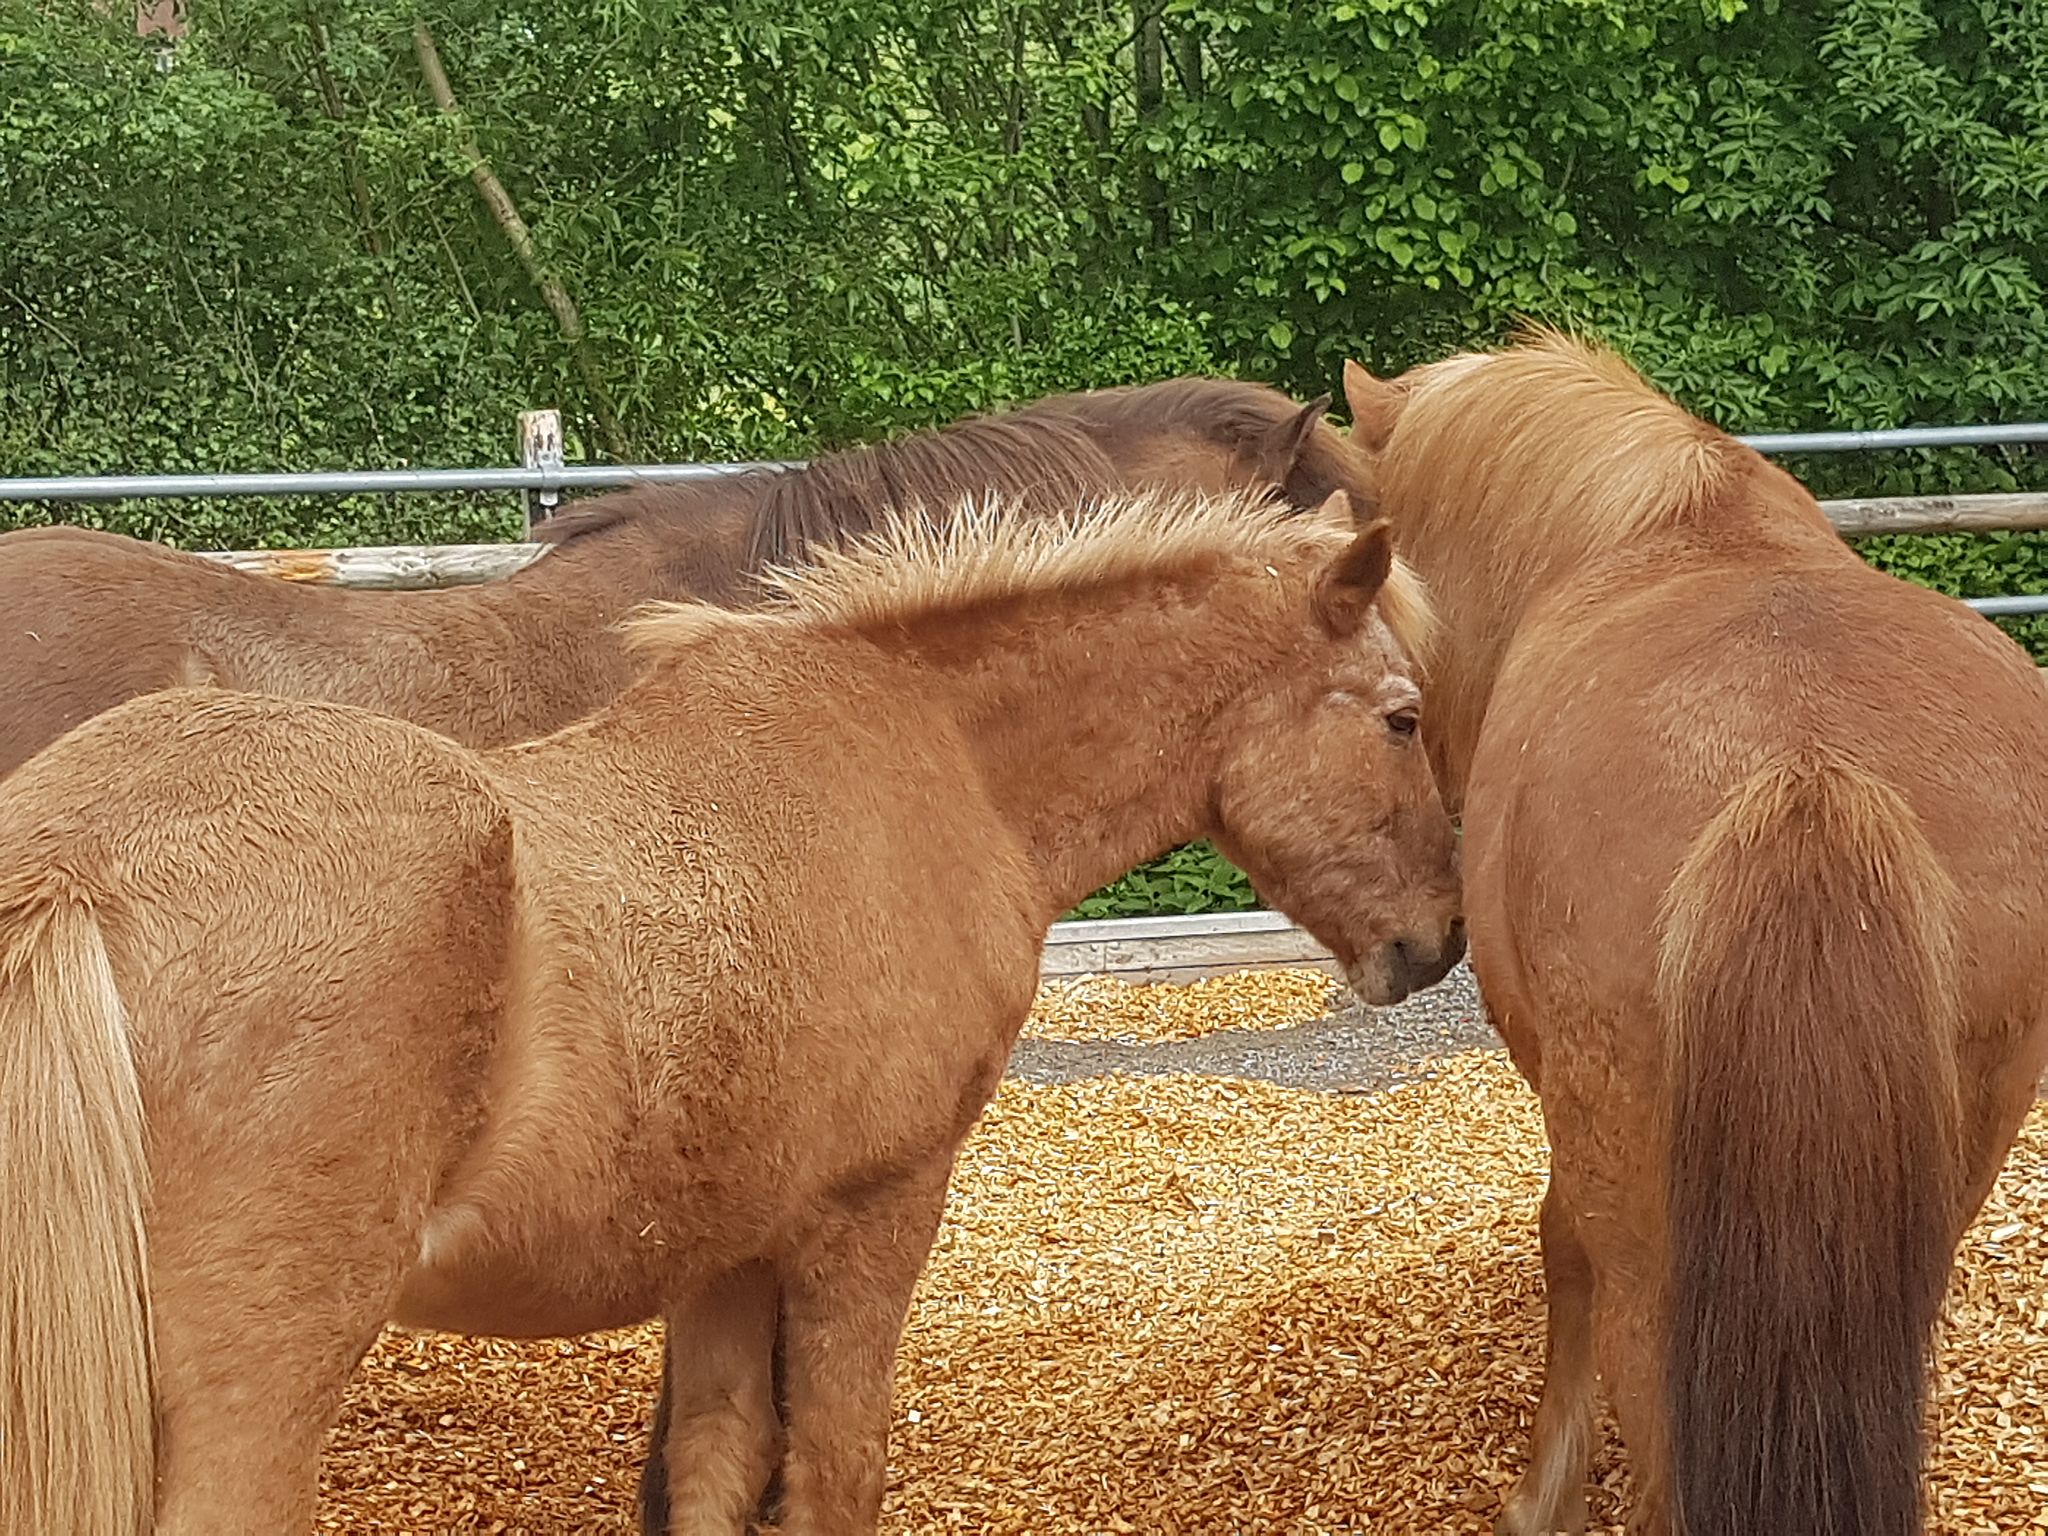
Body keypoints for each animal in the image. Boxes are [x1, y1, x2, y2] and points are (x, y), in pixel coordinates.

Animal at [0, 484, 1466, 1536]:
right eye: (1401, 718)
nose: (1437, 939)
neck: (938, 759)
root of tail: (71, 867)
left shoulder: (723, 1248)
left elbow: (715, 1469)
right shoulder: (873, 1218)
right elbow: (834, 1475)